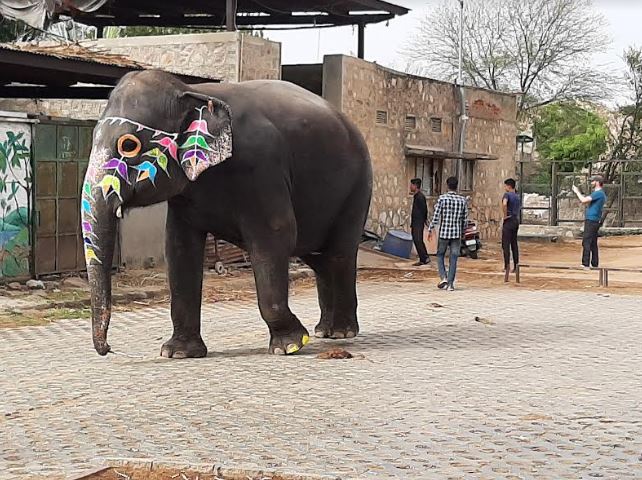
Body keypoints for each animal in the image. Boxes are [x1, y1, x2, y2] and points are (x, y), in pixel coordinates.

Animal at [81, 70, 370, 356]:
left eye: (128, 145)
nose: (108, 348)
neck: (191, 91)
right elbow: (179, 248)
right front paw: (178, 353)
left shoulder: (262, 167)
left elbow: (275, 236)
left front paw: (290, 345)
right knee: (319, 257)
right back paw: (324, 331)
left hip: (358, 189)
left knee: (339, 253)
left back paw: (341, 332)